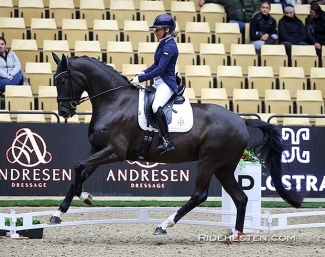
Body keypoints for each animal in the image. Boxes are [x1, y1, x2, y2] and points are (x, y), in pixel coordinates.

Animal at [50, 53, 302, 234]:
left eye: (62, 80)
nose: (63, 111)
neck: (114, 101)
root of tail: (240, 120)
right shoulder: (98, 149)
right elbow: (78, 173)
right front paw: (70, 207)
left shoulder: (114, 152)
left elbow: (78, 167)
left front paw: (69, 206)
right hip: (224, 167)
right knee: (240, 198)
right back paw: (236, 234)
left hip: (209, 162)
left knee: (199, 195)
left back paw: (164, 225)